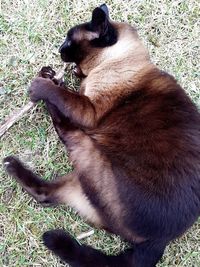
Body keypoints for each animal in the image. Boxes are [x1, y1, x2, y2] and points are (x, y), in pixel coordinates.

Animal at [3, 4, 200, 267]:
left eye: (69, 40)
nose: (59, 48)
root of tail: (162, 240)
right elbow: (67, 89)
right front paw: (50, 74)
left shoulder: (89, 110)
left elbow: (63, 95)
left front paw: (42, 83)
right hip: (81, 183)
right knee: (46, 195)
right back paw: (10, 164)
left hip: (90, 152)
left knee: (66, 130)